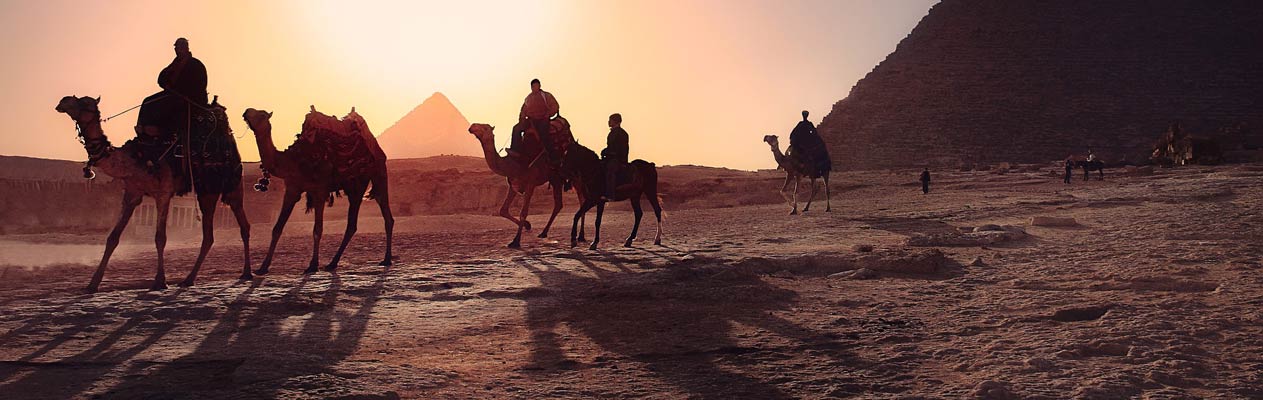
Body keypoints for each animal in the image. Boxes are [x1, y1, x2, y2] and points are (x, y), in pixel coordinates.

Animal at [54, 95, 251, 291]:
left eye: (84, 102)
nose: (63, 101)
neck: (135, 160)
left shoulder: (163, 193)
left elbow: (160, 238)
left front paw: (160, 281)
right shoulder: (132, 194)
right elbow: (113, 238)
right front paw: (93, 283)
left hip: (230, 185)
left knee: (243, 226)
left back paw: (246, 273)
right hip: (206, 192)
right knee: (209, 236)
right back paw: (188, 279)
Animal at [238, 105, 391, 273]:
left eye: (262, 115)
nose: (246, 111)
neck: (293, 160)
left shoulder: (320, 190)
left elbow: (317, 229)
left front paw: (312, 265)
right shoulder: (292, 189)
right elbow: (277, 228)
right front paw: (263, 267)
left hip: (376, 173)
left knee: (383, 216)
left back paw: (386, 259)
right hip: (354, 185)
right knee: (353, 224)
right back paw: (332, 263)